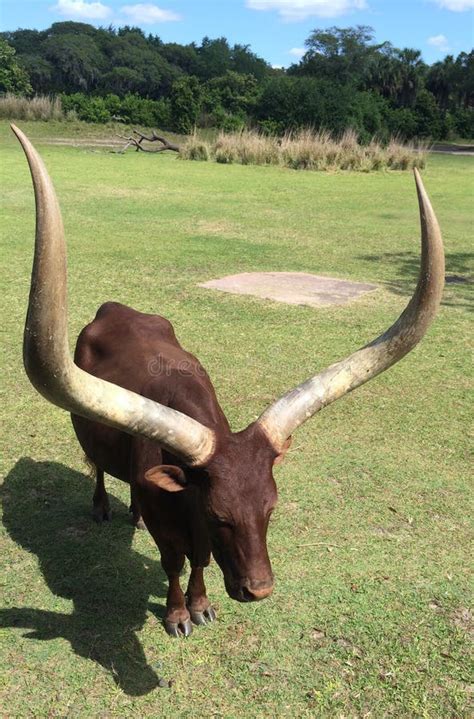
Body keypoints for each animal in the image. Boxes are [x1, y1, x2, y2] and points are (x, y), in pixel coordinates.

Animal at [13, 126, 444, 640]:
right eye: (220, 514)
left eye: (271, 508)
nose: (258, 589)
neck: (186, 507)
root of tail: (113, 308)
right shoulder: (173, 525)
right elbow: (173, 563)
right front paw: (178, 614)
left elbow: (199, 561)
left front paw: (201, 605)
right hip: (83, 431)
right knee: (96, 464)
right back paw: (102, 506)